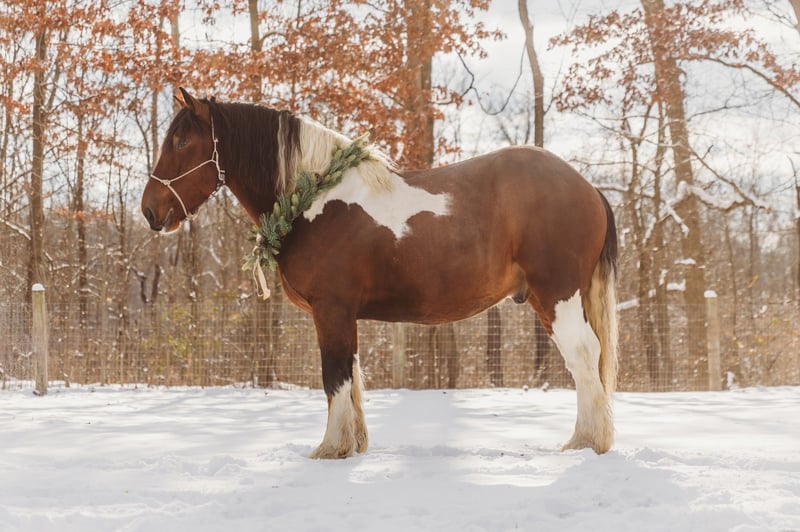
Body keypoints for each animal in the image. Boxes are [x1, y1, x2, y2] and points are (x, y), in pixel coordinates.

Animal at [141, 88, 619, 459]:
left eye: (181, 141)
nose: (149, 210)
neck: (313, 198)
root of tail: (588, 188)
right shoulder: (343, 315)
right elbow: (351, 376)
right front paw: (353, 444)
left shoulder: (331, 310)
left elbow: (334, 376)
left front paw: (330, 448)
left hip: (558, 297)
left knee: (582, 355)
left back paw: (587, 442)